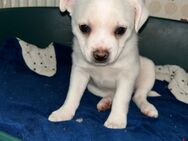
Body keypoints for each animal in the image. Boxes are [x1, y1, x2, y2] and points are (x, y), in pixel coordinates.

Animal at [48, 0, 159, 129]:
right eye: (84, 28)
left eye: (121, 30)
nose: (100, 55)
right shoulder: (80, 72)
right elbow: (72, 94)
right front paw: (64, 112)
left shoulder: (126, 77)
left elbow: (121, 99)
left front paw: (116, 120)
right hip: (94, 88)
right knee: (113, 94)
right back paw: (105, 102)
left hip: (148, 70)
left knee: (138, 96)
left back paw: (147, 107)